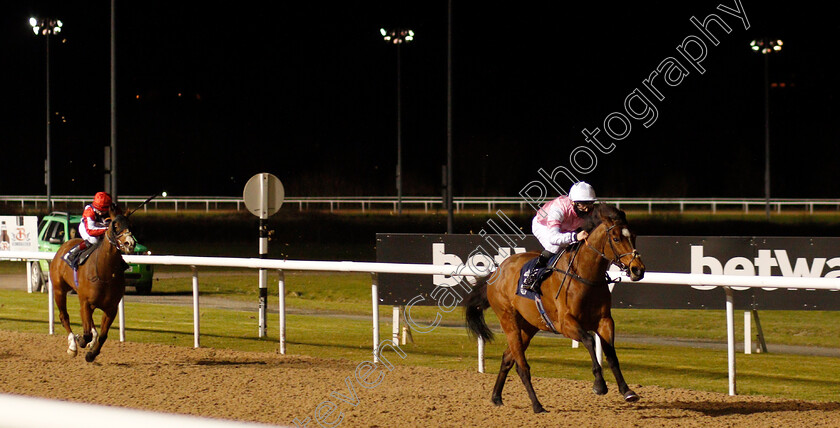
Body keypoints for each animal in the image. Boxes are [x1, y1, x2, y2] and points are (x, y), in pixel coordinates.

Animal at [49, 209, 135, 362]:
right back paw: (72, 345)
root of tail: (63, 246)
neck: (104, 273)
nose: (129, 243)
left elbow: (103, 335)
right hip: (59, 290)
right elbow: (86, 333)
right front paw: (80, 341)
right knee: (64, 316)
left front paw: (92, 353)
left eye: (130, 225)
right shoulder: (86, 302)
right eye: (115, 225)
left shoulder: (111, 308)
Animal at [462, 206, 648, 412]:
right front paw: (599, 385)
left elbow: (611, 354)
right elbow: (589, 340)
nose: (638, 270)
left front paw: (627, 391)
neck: (585, 277)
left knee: (508, 358)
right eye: (616, 239)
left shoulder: (605, 320)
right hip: (508, 320)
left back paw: (496, 397)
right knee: (521, 366)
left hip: (528, 326)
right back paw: (537, 405)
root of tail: (496, 272)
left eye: (634, 235)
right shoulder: (565, 324)